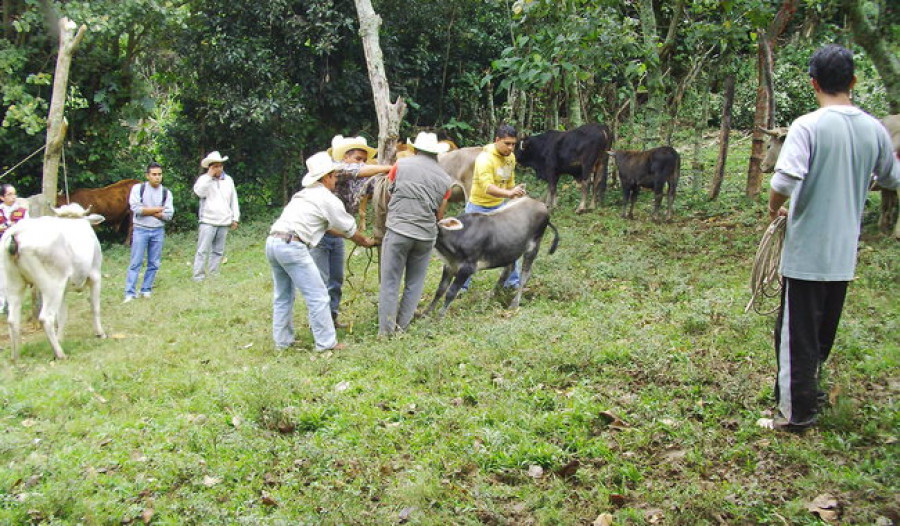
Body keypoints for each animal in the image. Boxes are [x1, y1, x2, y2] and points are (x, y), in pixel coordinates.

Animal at [1, 204, 106, 360]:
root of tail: (17, 233)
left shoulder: (64, 290)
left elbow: (62, 315)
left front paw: (60, 337)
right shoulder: (95, 276)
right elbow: (95, 307)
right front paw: (100, 333)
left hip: (13, 284)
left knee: (13, 319)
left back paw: (15, 356)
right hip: (52, 287)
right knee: (46, 318)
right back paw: (60, 354)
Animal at [426, 198, 560, 320]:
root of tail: (541, 204)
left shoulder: (467, 268)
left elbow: (451, 292)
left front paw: (439, 317)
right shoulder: (449, 265)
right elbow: (440, 290)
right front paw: (426, 313)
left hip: (533, 246)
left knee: (524, 274)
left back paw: (514, 303)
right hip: (511, 249)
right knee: (510, 269)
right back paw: (491, 297)